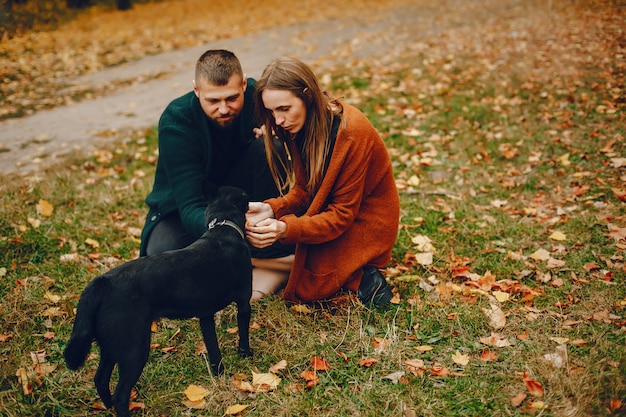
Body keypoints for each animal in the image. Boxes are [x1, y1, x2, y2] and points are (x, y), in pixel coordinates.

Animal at [62, 186, 250, 416]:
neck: (223, 228)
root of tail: (103, 283)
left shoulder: (205, 316)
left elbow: (213, 350)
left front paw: (219, 374)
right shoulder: (244, 302)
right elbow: (242, 335)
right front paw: (246, 355)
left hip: (112, 346)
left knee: (100, 379)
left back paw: (107, 407)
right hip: (135, 350)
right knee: (120, 394)